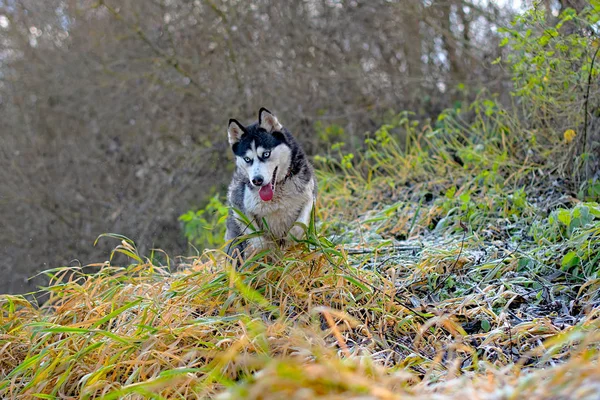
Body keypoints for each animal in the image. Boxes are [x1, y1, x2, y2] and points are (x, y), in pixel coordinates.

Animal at [225, 108, 316, 258]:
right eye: (247, 159)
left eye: (266, 154)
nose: (257, 180)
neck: (277, 193)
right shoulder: (239, 205)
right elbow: (258, 239)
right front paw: (267, 250)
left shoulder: (308, 194)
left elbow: (300, 224)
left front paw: (289, 239)